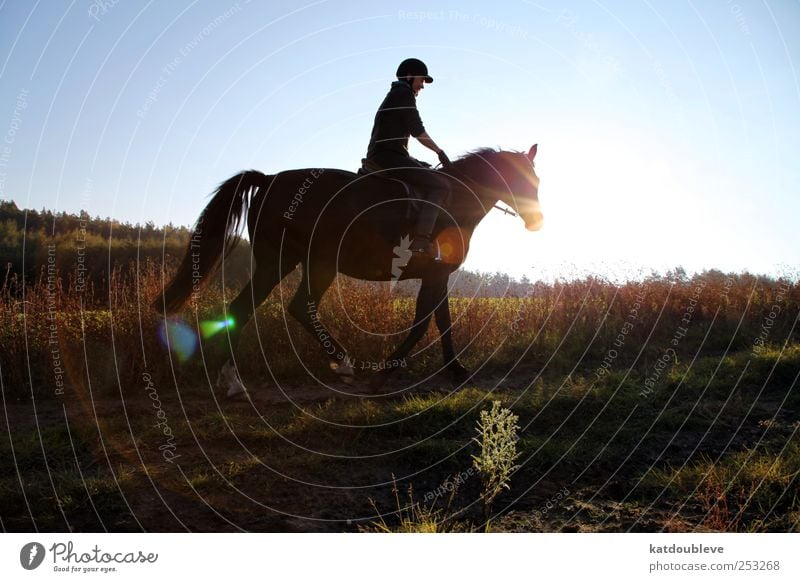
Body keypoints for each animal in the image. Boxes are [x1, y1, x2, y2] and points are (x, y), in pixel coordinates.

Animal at [155, 145, 544, 396]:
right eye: (522, 182)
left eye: (537, 182)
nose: (537, 222)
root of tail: (268, 179)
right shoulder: (435, 274)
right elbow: (424, 323)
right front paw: (385, 375)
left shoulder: (439, 276)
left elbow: (441, 321)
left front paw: (456, 370)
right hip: (296, 262)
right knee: (276, 307)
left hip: (296, 262)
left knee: (264, 307)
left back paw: (236, 379)